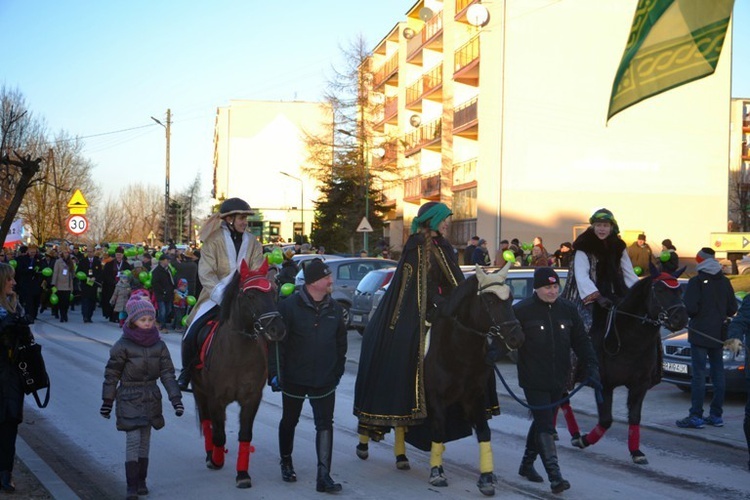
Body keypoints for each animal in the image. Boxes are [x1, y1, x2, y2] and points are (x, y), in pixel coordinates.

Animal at [191, 260, 288, 486]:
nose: (277, 329)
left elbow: (245, 434)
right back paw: (210, 455)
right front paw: (217, 459)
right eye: (250, 295)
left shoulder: (251, 398)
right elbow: (219, 434)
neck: (238, 353)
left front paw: (243, 475)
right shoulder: (216, 398)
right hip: (200, 391)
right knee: (207, 423)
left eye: (273, 292)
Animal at [408, 266, 524, 496]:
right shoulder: (435, 398)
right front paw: (437, 472)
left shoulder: (474, 397)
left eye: (511, 298)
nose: (517, 337)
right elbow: (438, 430)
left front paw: (487, 477)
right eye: (490, 301)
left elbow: (484, 431)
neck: (458, 351)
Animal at [572, 266, 692, 464]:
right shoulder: (604, 384)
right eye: (660, 290)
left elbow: (635, 417)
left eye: (680, 292)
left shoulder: (640, 384)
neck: (628, 339)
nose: (680, 318)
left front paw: (636, 452)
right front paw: (584, 440)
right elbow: (606, 420)